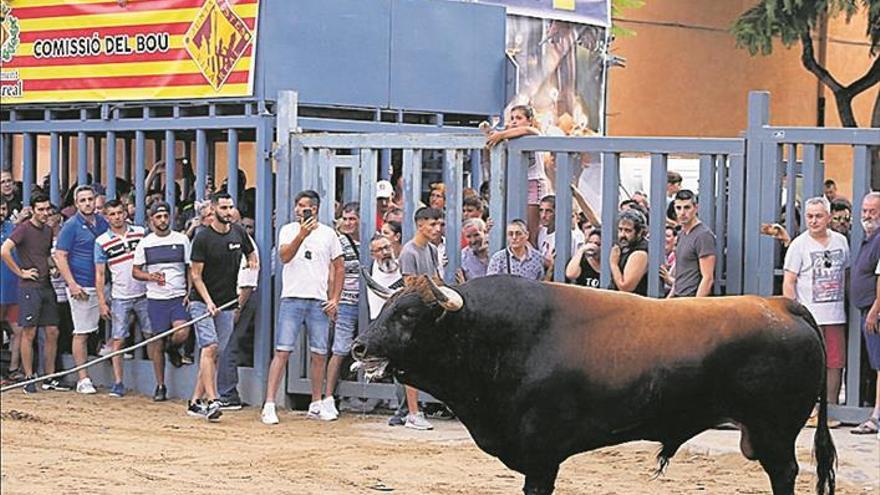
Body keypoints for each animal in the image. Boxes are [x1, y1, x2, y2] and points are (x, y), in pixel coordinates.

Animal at [348, 276, 836, 495]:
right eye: (385, 307)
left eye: (408, 314)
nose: (358, 346)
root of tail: (781, 304)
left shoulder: (542, 456)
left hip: (775, 433)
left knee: (785, 475)